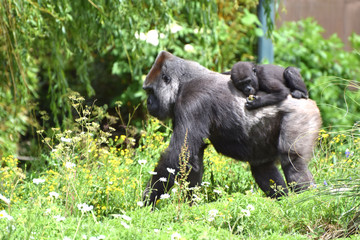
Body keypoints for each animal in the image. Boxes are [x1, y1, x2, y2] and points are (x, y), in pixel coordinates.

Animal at [141, 50, 320, 204]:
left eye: (150, 91)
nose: (148, 103)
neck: (184, 81)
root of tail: (309, 100)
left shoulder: (191, 101)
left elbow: (178, 154)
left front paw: (148, 200)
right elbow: (192, 158)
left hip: (301, 115)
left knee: (293, 161)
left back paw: (305, 202)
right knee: (261, 166)